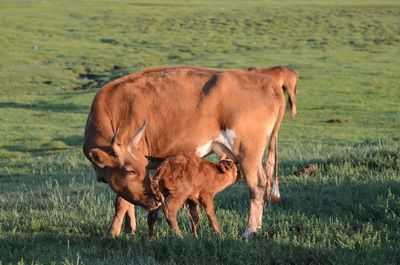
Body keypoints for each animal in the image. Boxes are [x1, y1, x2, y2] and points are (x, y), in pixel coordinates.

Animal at [83, 66, 286, 237]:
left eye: (132, 170)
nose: (156, 200)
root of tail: (266, 80)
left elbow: (121, 202)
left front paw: (113, 233)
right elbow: (128, 200)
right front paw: (130, 228)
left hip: (247, 151)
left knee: (257, 185)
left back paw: (249, 231)